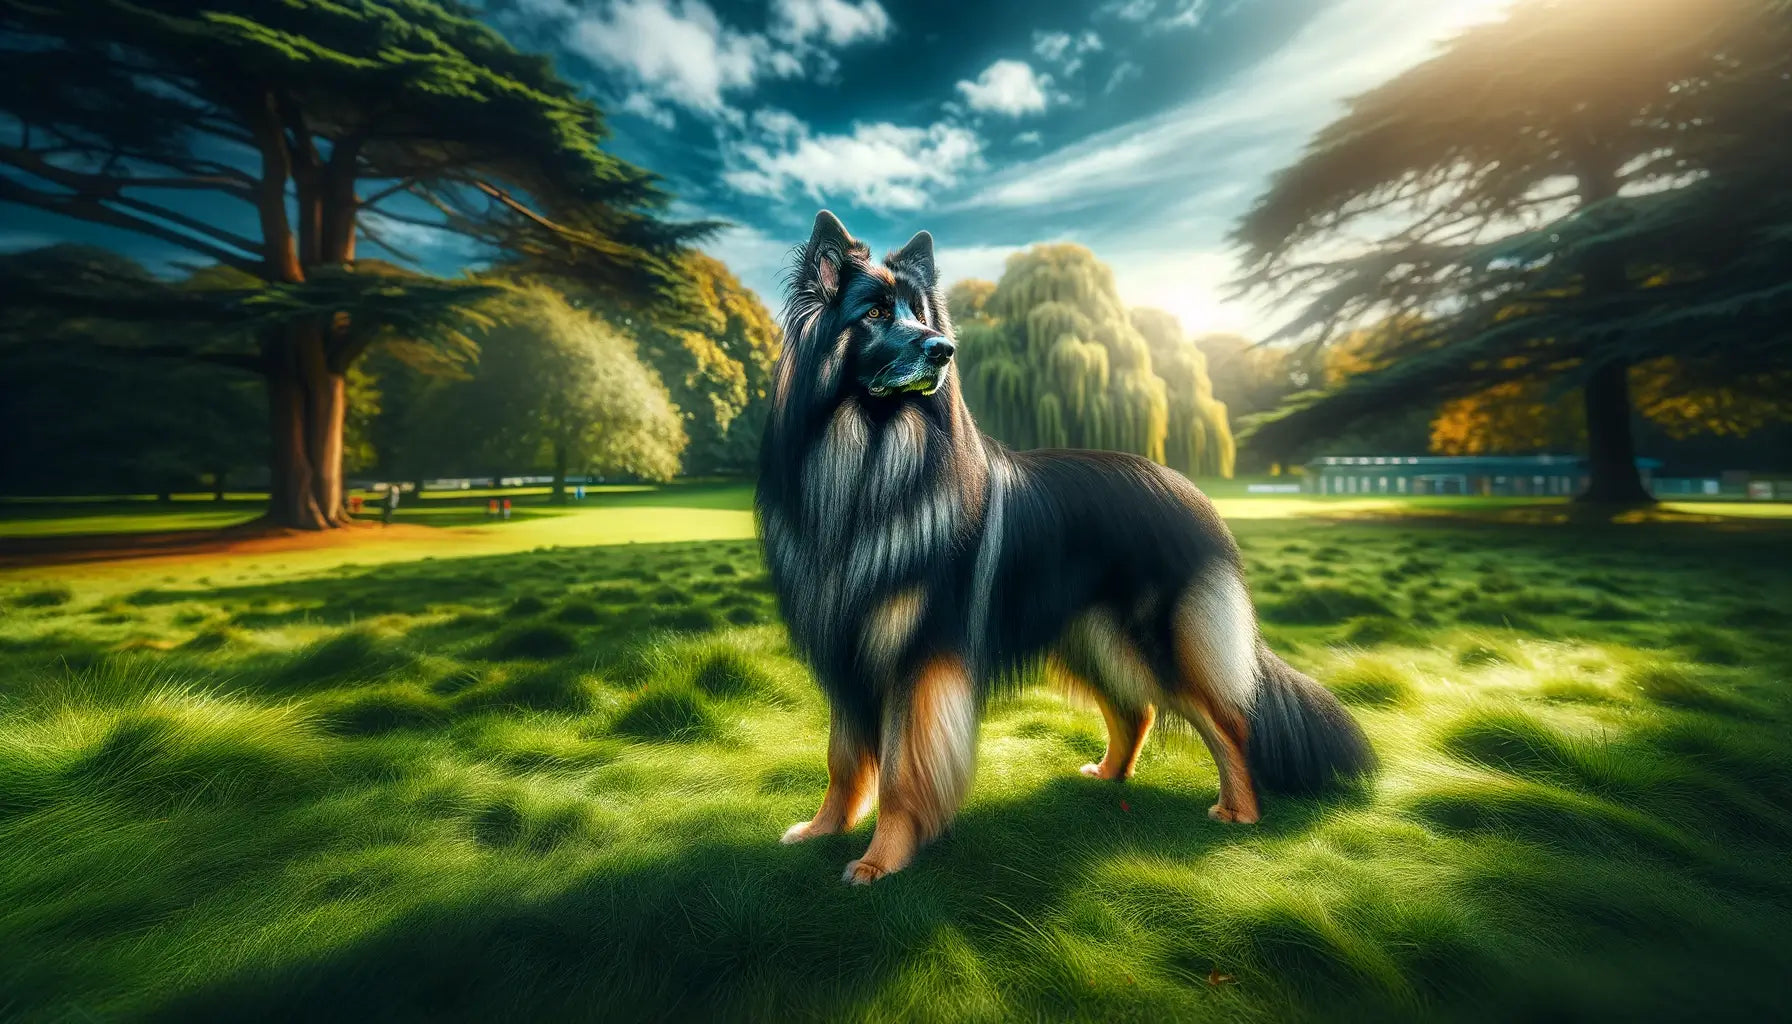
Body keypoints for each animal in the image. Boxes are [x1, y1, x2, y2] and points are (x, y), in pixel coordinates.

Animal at [756, 212, 1369, 885]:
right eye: (874, 312)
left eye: (921, 314)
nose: (943, 349)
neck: (871, 468)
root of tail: (1191, 492)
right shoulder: (844, 659)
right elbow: (842, 760)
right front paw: (823, 829)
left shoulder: (918, 662)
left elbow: (898, 773)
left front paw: (879, 860)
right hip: (1094, 640)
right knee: (1136, 712)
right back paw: (1108, 777)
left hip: (1156, 644)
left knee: (1230, 721)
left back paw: (1240, 811)